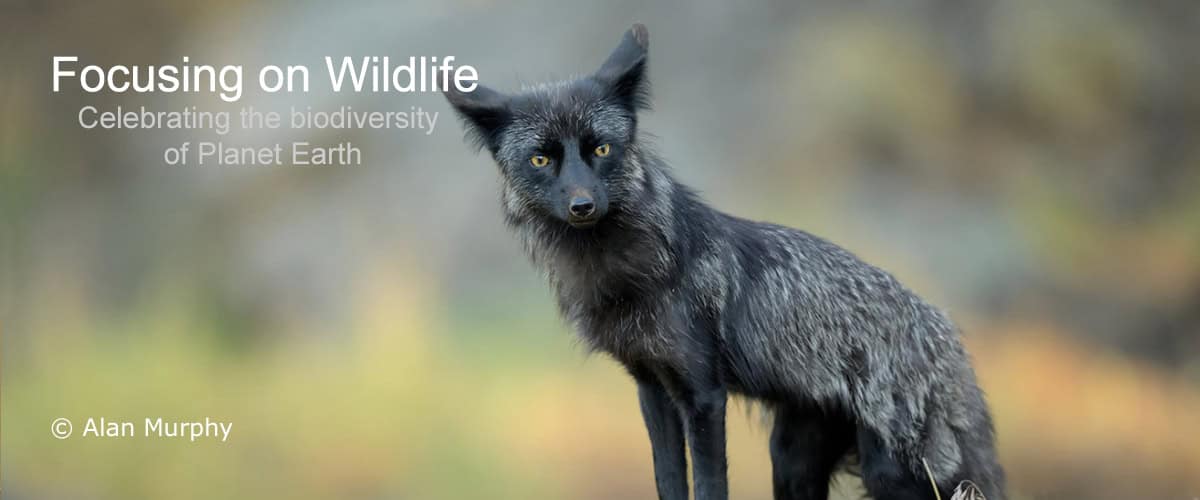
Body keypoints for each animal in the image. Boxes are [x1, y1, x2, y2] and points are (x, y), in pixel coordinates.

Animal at [444, 24, 1006, 500]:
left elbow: (711, 485)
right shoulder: (652, 388)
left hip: (895, 475)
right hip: (793, 462)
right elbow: (669, 480)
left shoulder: (703, 394)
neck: (630, 274)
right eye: (541, 159)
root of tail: (950, 336)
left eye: (601, 149)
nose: (583, 205)